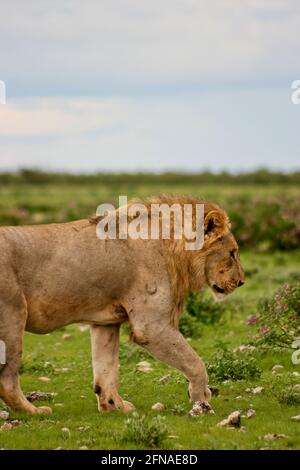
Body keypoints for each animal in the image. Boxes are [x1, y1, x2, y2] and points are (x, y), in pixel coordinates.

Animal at [0, 195, 244, 414]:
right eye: (232, 253)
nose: (241, 282)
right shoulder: (151, 327)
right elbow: (195, 363)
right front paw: (202, 399)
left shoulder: (106, 322)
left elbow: (106, 369)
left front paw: (115, 406)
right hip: (13, 316)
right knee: (7, 380)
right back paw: (35, 411)